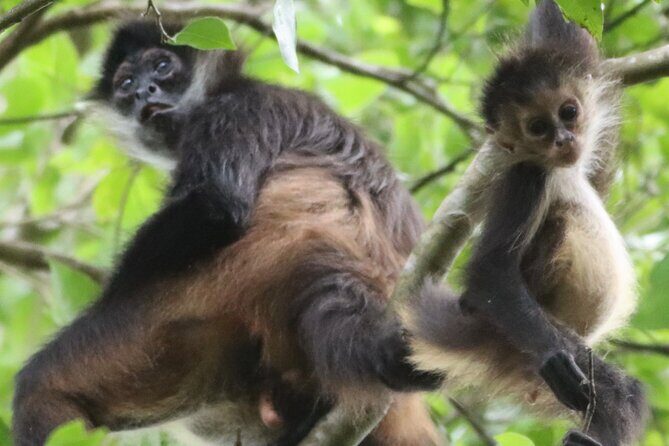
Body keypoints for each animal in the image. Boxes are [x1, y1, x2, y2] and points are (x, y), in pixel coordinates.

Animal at [11, 20, 444, 446]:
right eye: (126, 83)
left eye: (162, 67)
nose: (142, 93)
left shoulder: (235, 109)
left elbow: (215, 207)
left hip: (218, 287)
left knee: (40, 388)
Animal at [403, 2, 648, 445]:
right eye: (538, 128)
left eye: (568, 112)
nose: (564, 140)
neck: (561, 169)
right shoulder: (527, 177)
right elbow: (490, 270)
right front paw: (554, 357)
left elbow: (567, 29)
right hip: (525, 336)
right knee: (616, 389)